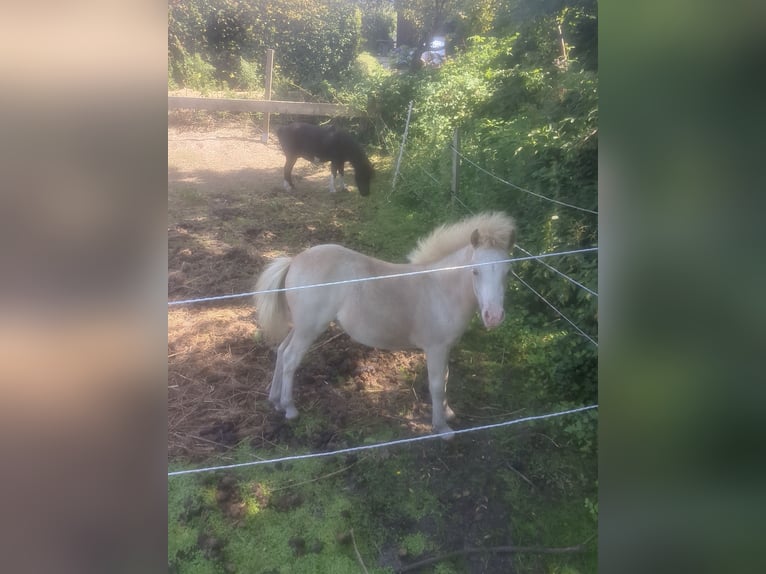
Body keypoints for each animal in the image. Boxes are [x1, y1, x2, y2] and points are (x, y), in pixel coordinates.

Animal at [255, 214, 520, 438]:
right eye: (474, 271)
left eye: (508, 271)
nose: (493, 316)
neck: (440, 289)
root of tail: (294, 260)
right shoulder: (435, 348)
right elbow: (436, 385)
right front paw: (442, 428)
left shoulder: (445, 348)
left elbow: (444, 379)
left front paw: (448, 413)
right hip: (310, 328)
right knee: (291, 358)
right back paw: (290, 409)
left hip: (301, 326)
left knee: (282, 351)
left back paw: (275, 400)